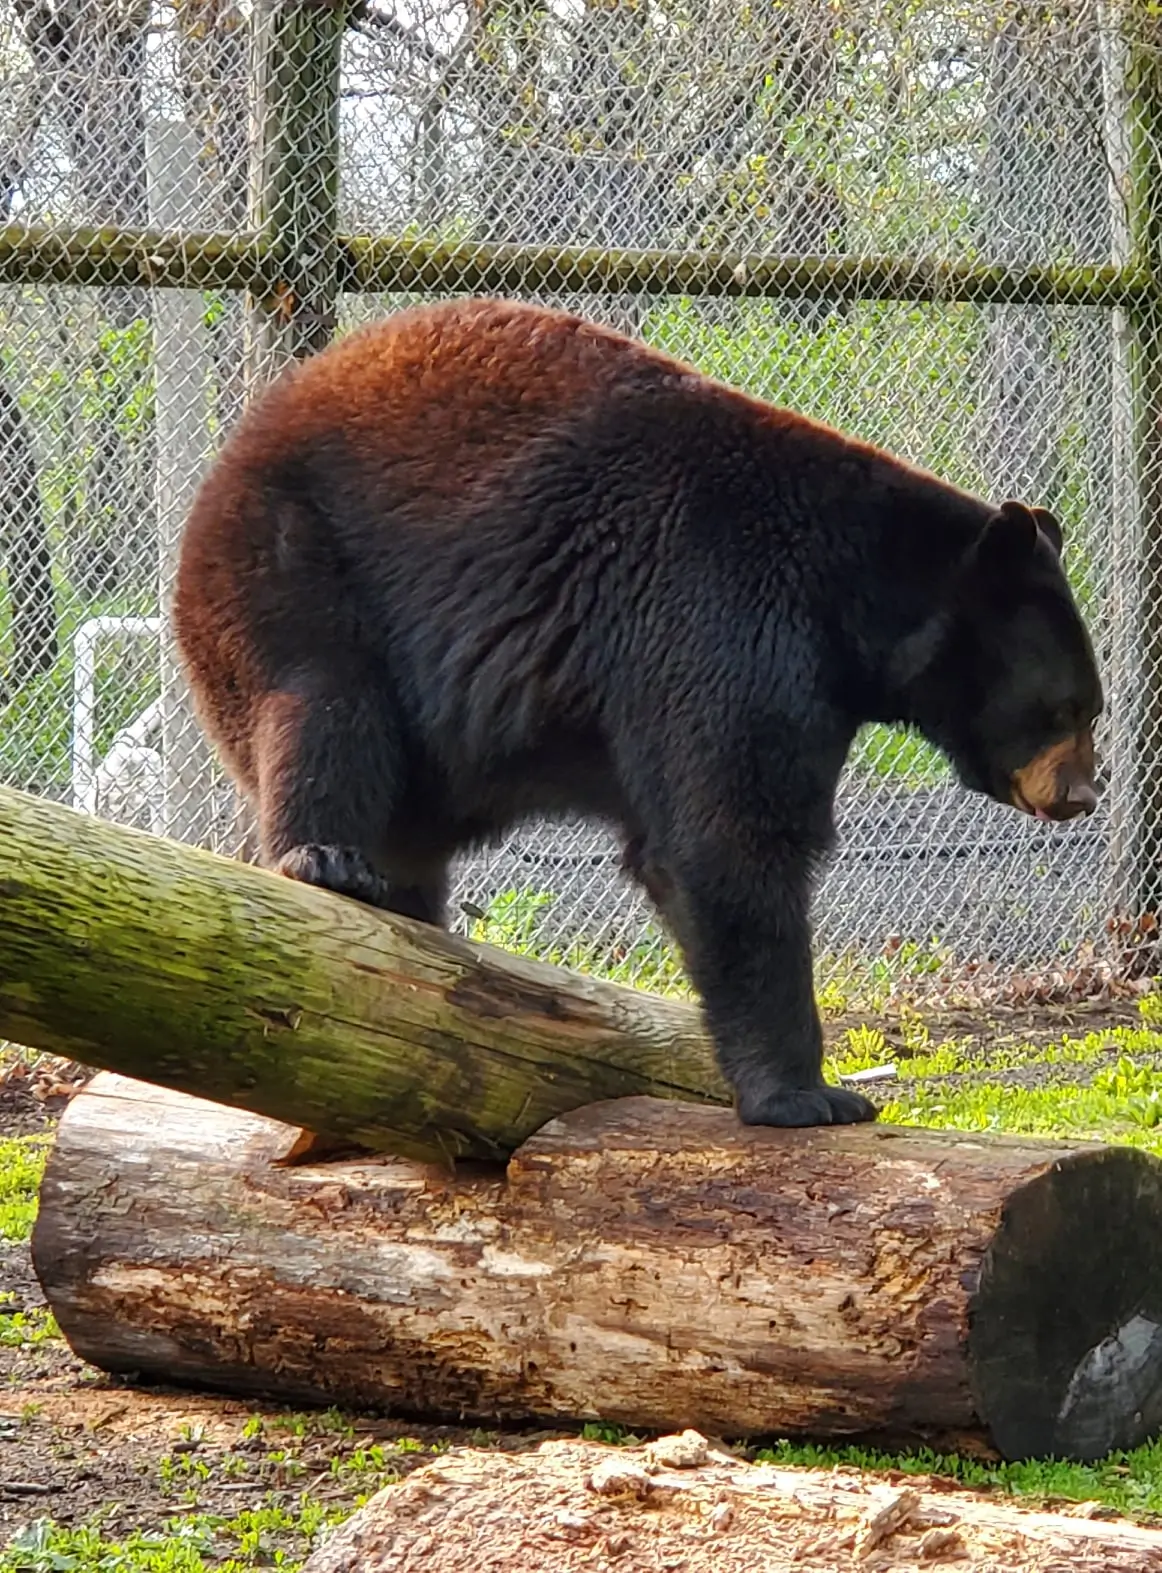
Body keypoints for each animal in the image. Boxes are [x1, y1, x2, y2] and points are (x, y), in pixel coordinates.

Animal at [172, 296, 1103, 1130]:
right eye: (1066, 707)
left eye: (1091, 706)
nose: (1083, 795)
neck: (855, 604)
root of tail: (240, 442)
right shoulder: (722, 611)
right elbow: (728, 836)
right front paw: (810, 1094)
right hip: (294, 556)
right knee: (328, 705)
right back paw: (327, 859)